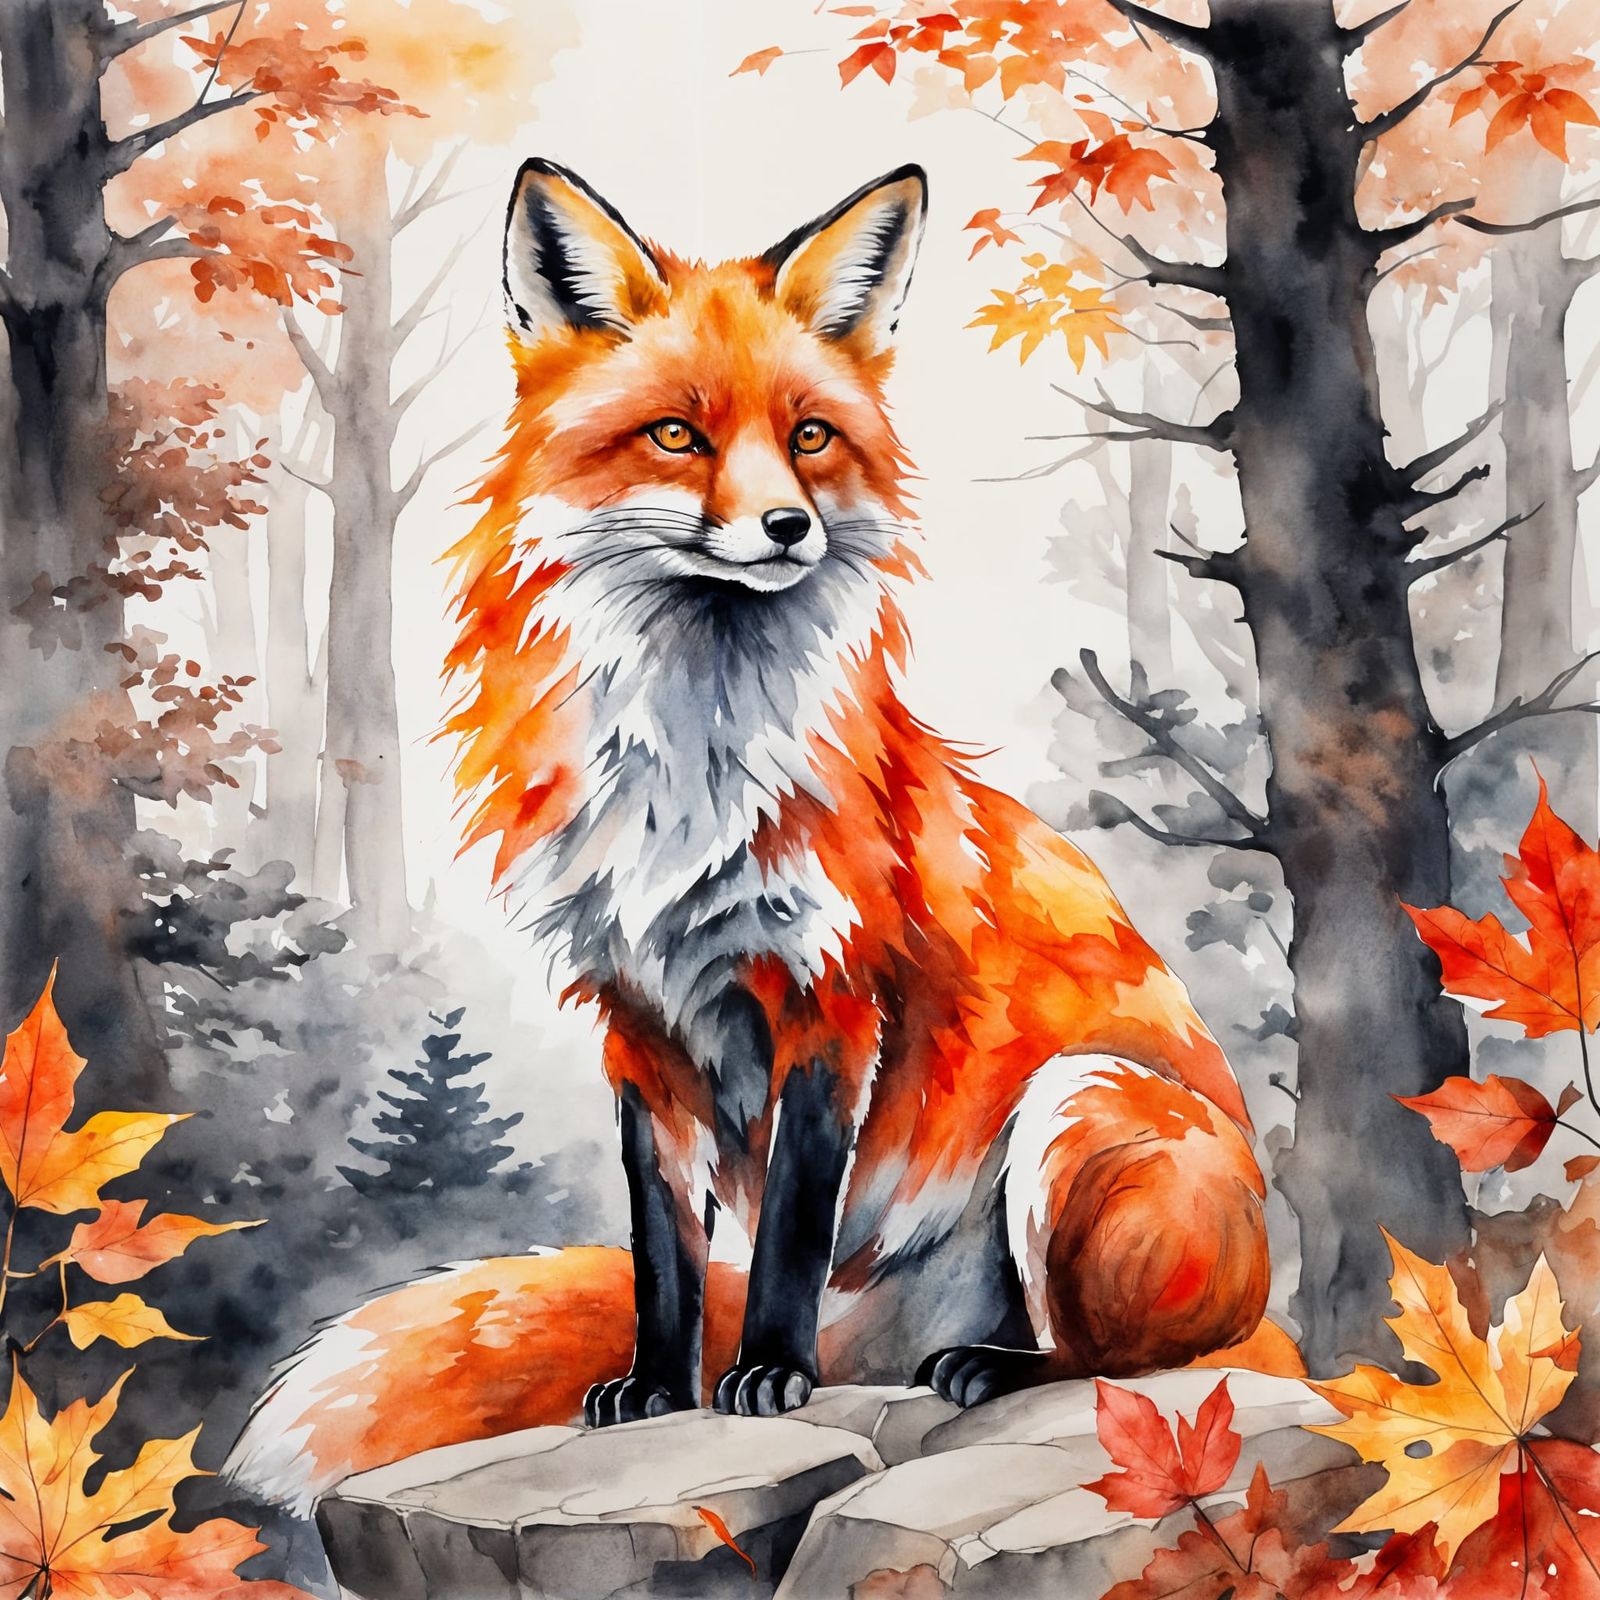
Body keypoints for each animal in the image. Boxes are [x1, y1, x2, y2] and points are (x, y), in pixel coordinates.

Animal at [226, 159, 1283, 1513]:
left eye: (809, 437)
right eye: (677, 434)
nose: (788, 527)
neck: (688, 773)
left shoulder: (827, 998)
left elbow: (784, 1220)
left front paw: (768, 1374)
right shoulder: (634, 1017)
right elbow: (664, 1250)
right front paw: (658, 1389)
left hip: (1080, 1102)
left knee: (1139, 1356)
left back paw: (990, 1366)